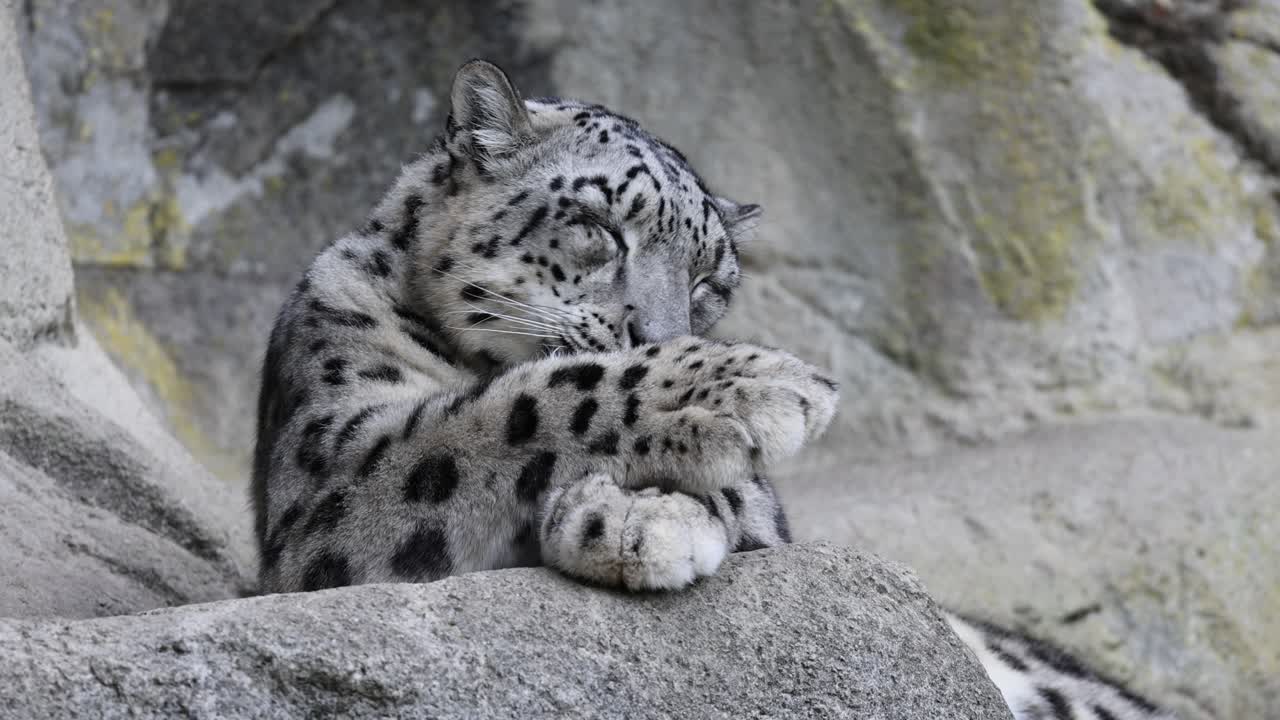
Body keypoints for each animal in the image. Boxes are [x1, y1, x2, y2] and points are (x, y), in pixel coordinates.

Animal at [252, 59, 1176, 720]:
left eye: (708, 282)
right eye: (597, 226)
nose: (662, 332)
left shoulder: (769, 520)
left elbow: (737, 505)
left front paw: (642, 513)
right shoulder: (333, 465)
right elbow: (509, 406)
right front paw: (750, 390)